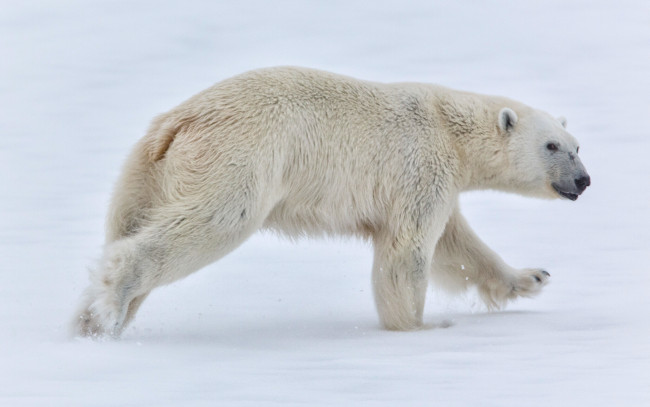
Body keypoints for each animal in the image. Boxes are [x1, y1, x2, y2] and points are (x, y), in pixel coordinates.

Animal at [71, 66, 590, 338]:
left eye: (577, 144)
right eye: (552, 146)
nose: (584, 181)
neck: (450, 126)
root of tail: (179, 123)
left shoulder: (434, 180)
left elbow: (456, 247)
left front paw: (531, 277)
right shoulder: (420, 165)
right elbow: (409, 251)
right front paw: (421, 328)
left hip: (145, 172)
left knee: (125, 224)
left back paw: (90, 320)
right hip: (238, 157)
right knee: (212, 221)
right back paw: (111, 307)